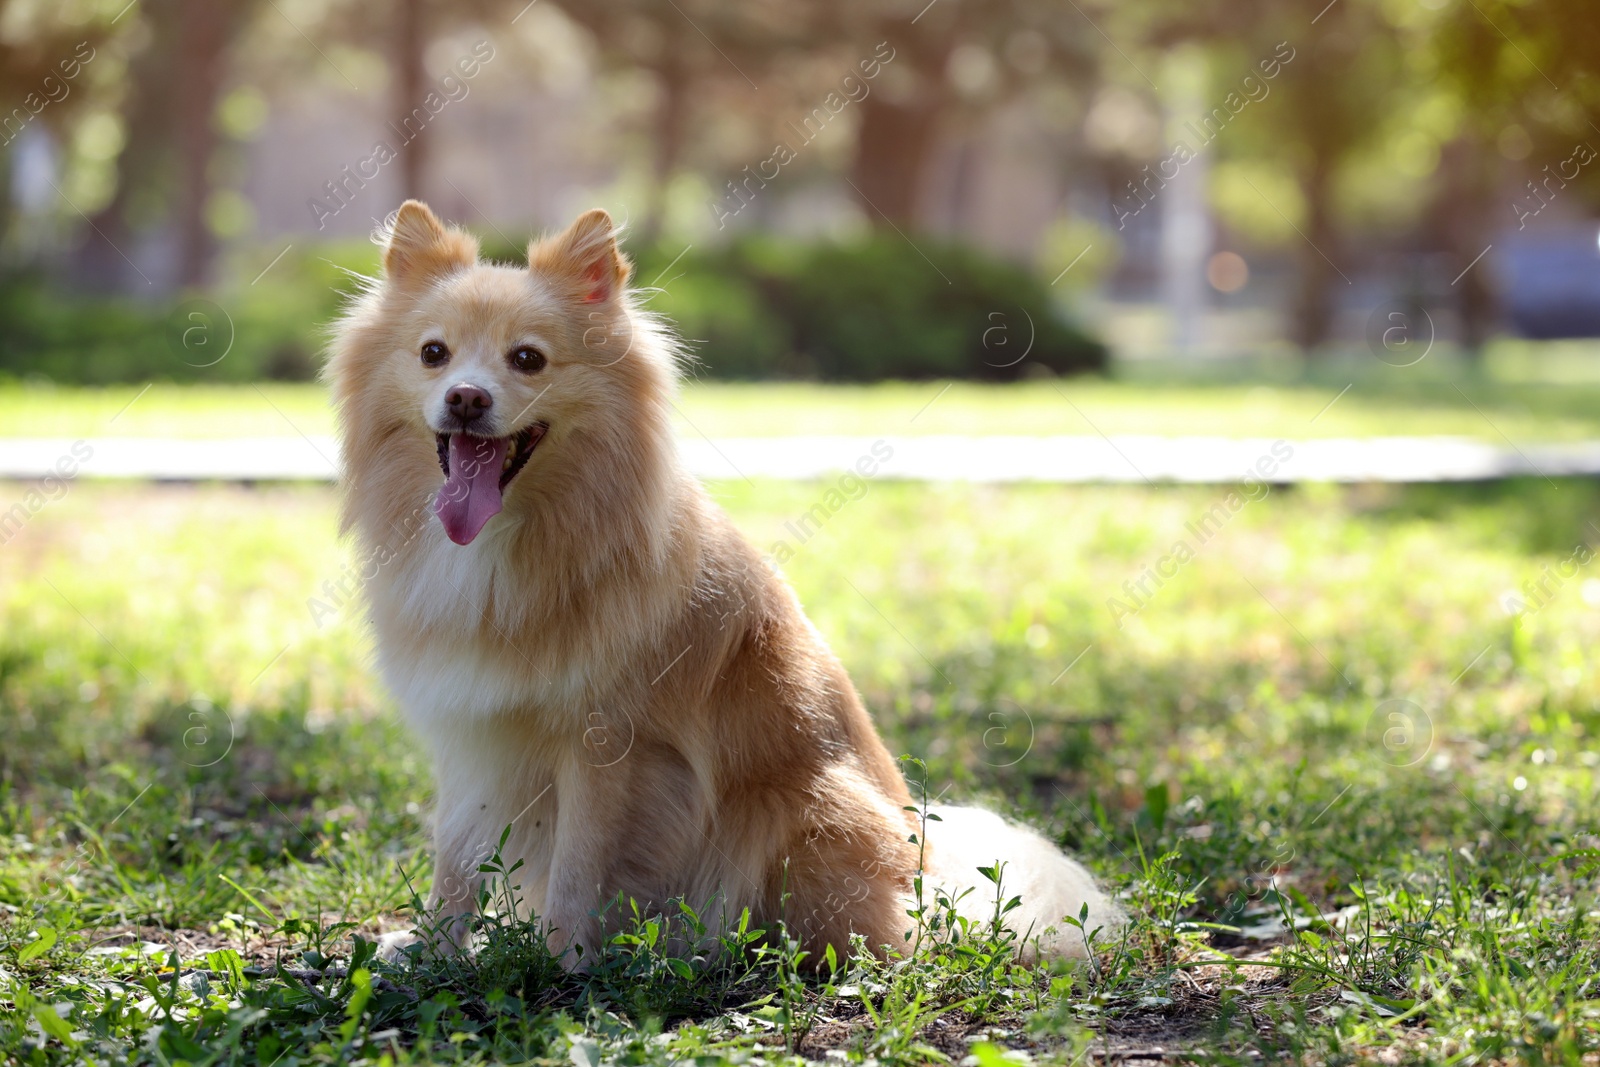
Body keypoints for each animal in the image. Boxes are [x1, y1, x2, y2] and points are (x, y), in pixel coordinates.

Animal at [329, 199, 1120, 966]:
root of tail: (929, 879)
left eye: (527, 359)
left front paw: (558, 961)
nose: (465, 397)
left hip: (797, 815)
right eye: (433, 354)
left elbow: (580, 864)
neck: (507, 539)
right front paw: (432, 948)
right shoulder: (471, 732)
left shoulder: (605, 747)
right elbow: (455, 857)